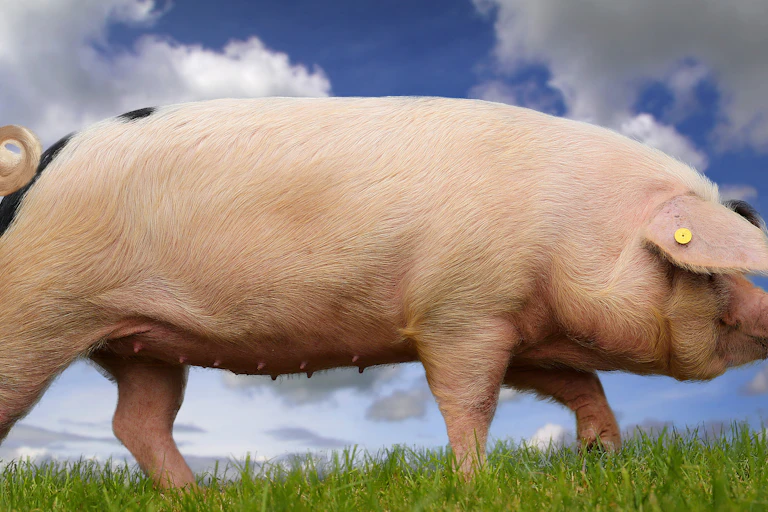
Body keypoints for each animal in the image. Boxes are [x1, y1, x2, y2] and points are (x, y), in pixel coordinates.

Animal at [0, 97, 767, 488]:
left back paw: (199, 498)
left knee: (138, 420)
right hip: (36, 310)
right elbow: (469, 400)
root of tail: (35, 178)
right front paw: (475, 484)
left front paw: (602, 457)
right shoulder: (460, 311)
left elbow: (581, 383)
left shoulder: (518, 326)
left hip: (143, 343)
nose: (762, 310)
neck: (571, 229)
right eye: (708, 271)